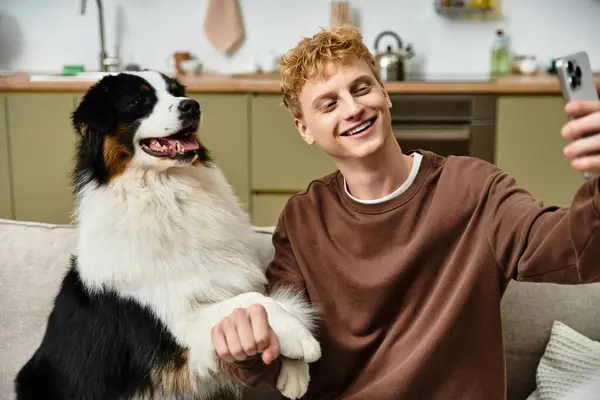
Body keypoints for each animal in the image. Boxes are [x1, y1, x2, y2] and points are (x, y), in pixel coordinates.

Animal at [14, 70, 322, 398]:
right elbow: (253, 301)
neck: (167, 191)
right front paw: (301, 339)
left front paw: (295, 372)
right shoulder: (174, 326)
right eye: (137, 101)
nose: (192, 106)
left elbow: (278, 299)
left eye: (176, 92)